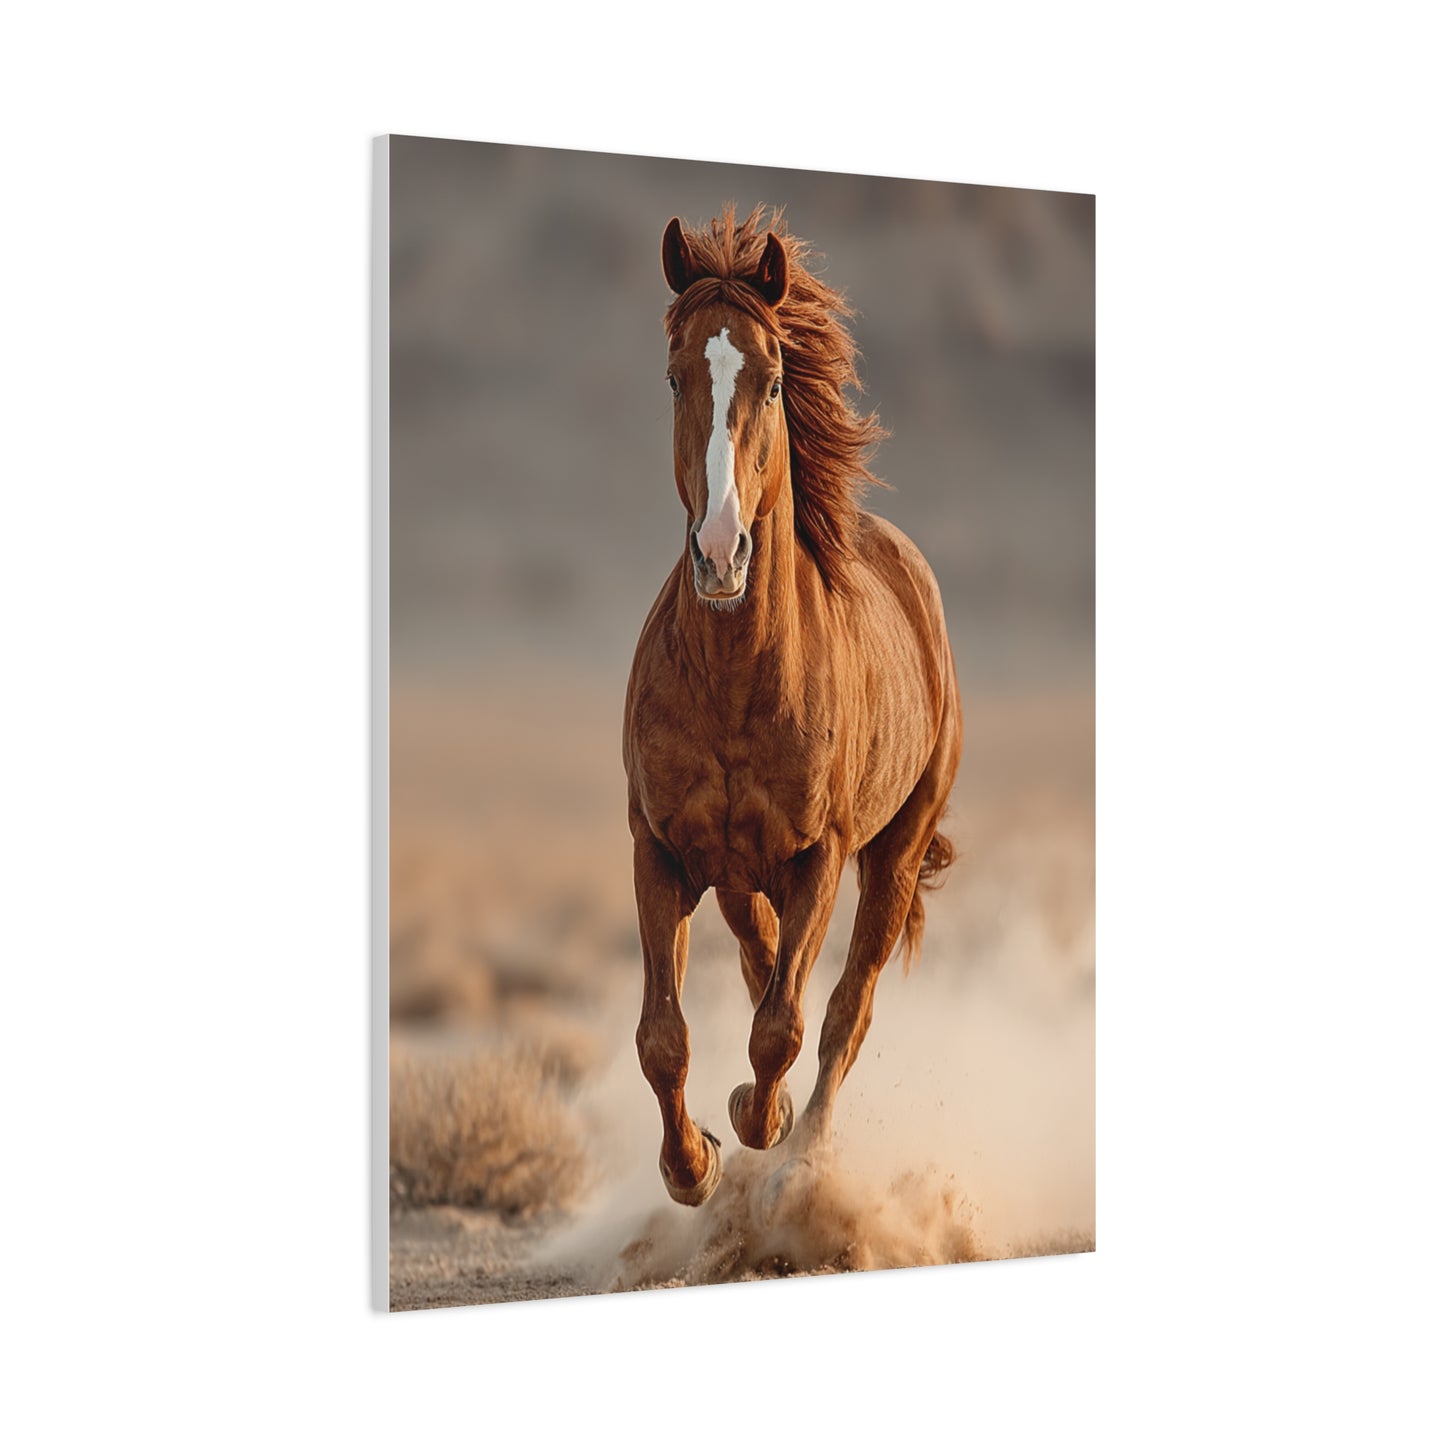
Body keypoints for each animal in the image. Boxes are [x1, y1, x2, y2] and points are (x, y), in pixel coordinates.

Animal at [623, 206, 962, 1206]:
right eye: (674, 375)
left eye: (772, 380)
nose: (720, 551)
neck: (737, 680)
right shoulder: (658, 849)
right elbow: (663, 1038)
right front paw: (691, 1164)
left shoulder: (822, 856)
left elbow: (786, 1025)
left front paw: (755, 1122)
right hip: (738, 875)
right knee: (760, 957)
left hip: (893, 852)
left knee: (846, 1005)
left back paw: (801, 1153)